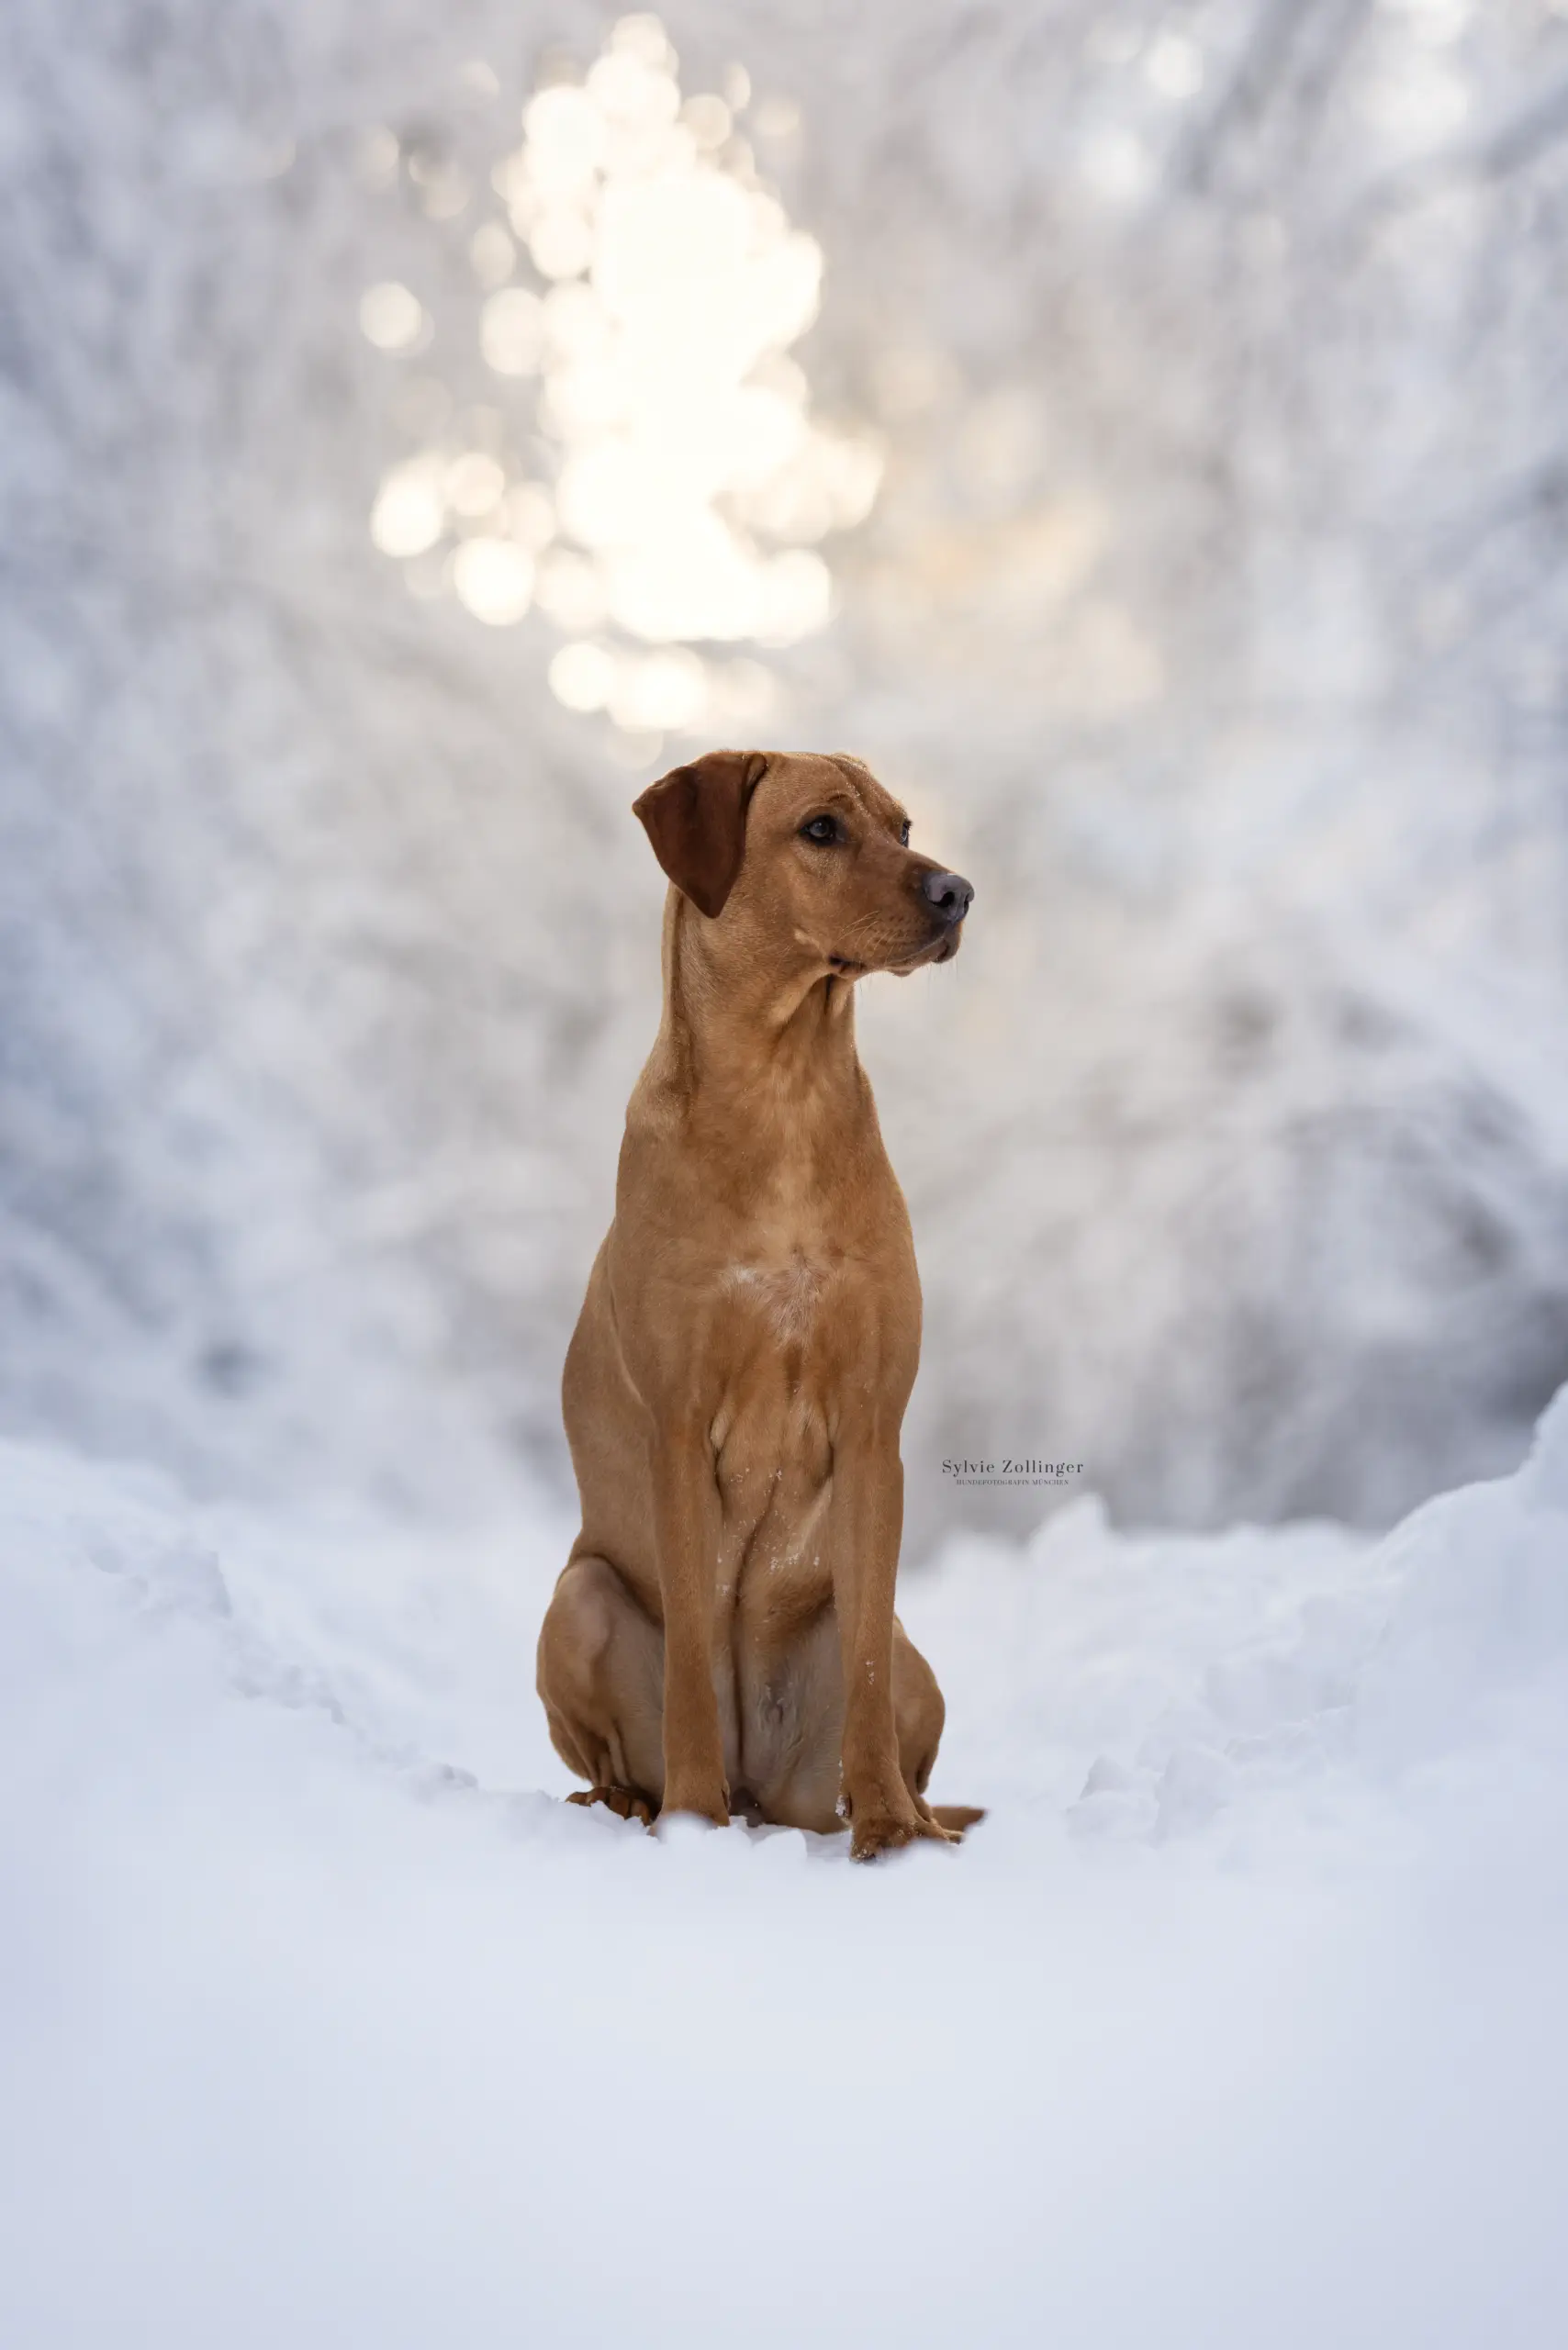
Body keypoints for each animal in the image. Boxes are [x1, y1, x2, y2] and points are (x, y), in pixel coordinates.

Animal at [540, 747, 982, 1852]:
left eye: (903, 829)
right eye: (821, 829)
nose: (958, 892)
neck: (785, 1092)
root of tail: (765, 1794)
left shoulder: (872, 1425)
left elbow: (862, 1664)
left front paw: (889, 1830)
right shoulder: (678, 1425)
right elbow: (694, 1663)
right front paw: (690, 1827)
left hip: (916, 1664)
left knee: (892, 1691)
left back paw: (918, 1817)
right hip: (577, 1598)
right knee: (613, 1748)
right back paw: (639, 1807)